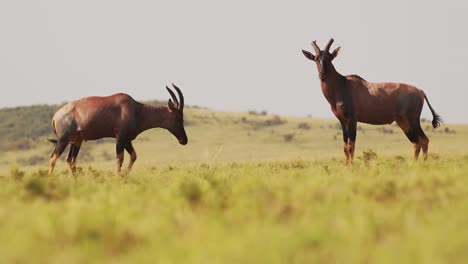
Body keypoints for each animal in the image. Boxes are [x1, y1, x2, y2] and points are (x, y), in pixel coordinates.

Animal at [47, 84, 186, 175]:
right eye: (178, 117)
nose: (184, 140)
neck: (136, 109)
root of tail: (56, 116)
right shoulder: (120, 137)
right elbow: (120, 158)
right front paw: (119, 178)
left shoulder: (127, 139)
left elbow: (133, 156)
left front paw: (125, 176)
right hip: (63, 140)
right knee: (53, 157)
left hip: (76, 141)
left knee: (70, 159)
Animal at [302, 38, 440, 163]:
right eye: (316, 58)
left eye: (329, 58)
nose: (322, 75)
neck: (343, 84)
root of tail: (420, 91)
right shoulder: (342, 121)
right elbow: (345, 147)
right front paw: (346, 166)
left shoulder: (352, 119)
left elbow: (351, 145)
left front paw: (351, 167)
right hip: (403, 122)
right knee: (416, 142)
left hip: (412, 120)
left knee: (424, 140)